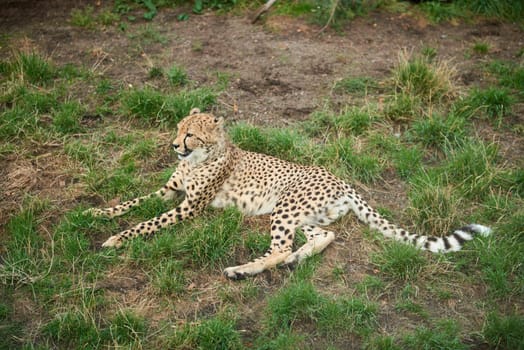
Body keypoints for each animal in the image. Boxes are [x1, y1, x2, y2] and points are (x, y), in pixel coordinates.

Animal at [86, 108, 492, 278]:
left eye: (191, 134)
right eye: (177, 128)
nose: (173, 145)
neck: (200, 159)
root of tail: (339, 177)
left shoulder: (189, 207)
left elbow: (148, 223)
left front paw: (116, 239)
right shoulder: (169, 191)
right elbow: (133, 203)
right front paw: (96, 214)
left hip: (284, 206)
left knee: (279, 249)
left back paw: (242, 270)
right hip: (301, 214)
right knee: (322, 236)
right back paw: (296, 260)